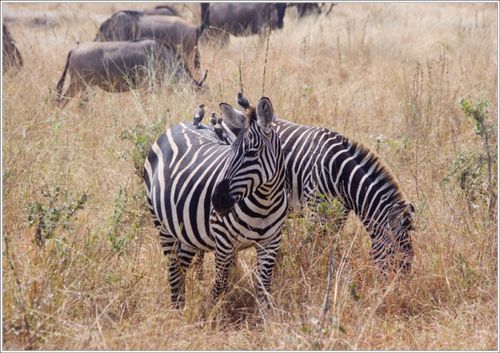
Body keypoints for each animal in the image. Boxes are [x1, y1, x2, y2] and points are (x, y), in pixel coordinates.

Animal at [143, 95, 288, 306]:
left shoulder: (271, 243)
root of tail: (180, 125)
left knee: (181, 267)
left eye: (252, 153)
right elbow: (219, 287)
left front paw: (265, 313)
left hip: (187, 233)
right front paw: (214, 312)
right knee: (173, 272)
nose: (217, 200)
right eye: (231, 150)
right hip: (163, 226)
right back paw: (177, 308)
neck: (264, 203)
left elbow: (264, 290)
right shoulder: (223, 242)